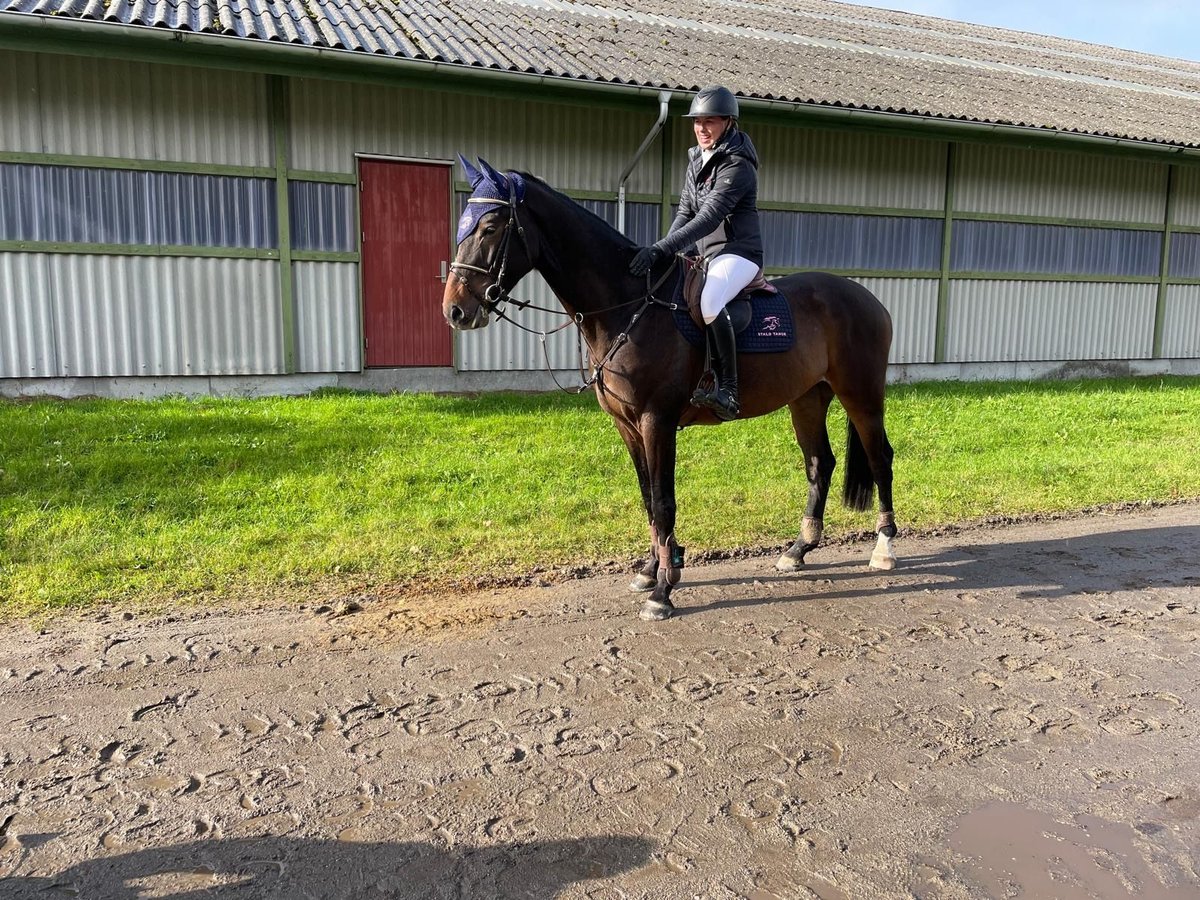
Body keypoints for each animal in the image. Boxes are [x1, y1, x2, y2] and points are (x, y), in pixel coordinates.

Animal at [446, 157, 897, 619]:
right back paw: (798, 550)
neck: (629, 304)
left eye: (490, 228)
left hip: (861, 396)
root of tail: (869, 298)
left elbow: (664, 501)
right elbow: (649, 497)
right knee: (819, 463)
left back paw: (883, 548)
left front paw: (662, 591)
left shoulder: (656, 420)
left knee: (880, 458)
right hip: (807, 399)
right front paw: (653, 570)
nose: (455, 310)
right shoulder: (627, 425)